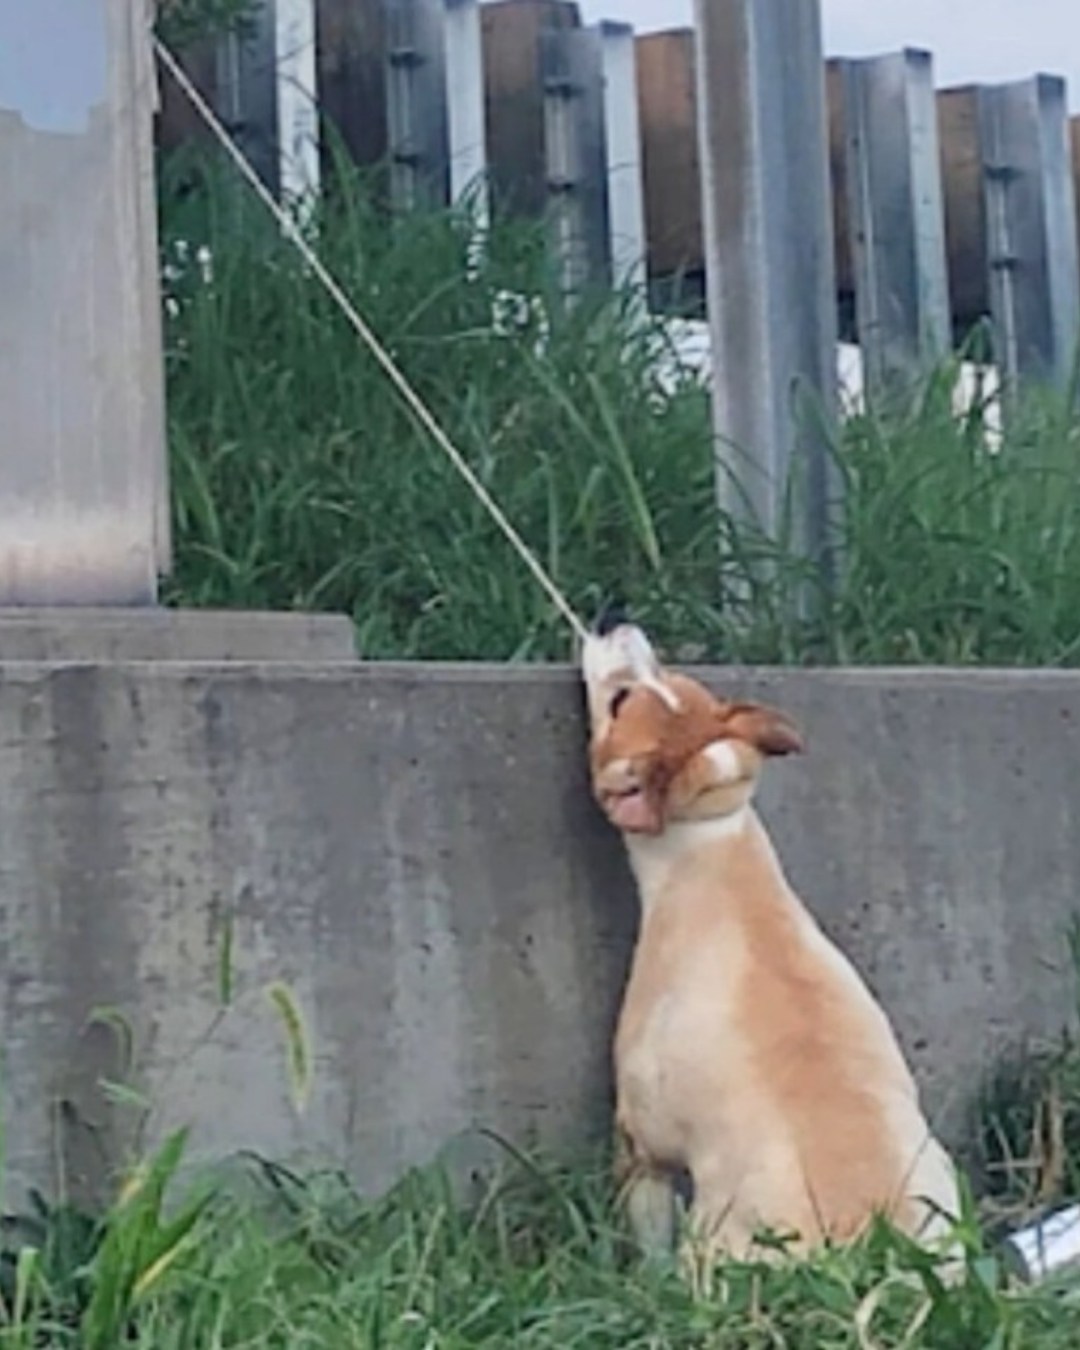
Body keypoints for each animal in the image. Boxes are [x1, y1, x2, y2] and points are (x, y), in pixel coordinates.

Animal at [581, 616, 960, 1271]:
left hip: (716, 1241)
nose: (614, 619)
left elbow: (646, 1224)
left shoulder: (641, 1140)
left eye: (619, 701)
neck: (710, 840)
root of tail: (874, 1254)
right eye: (666, 670)